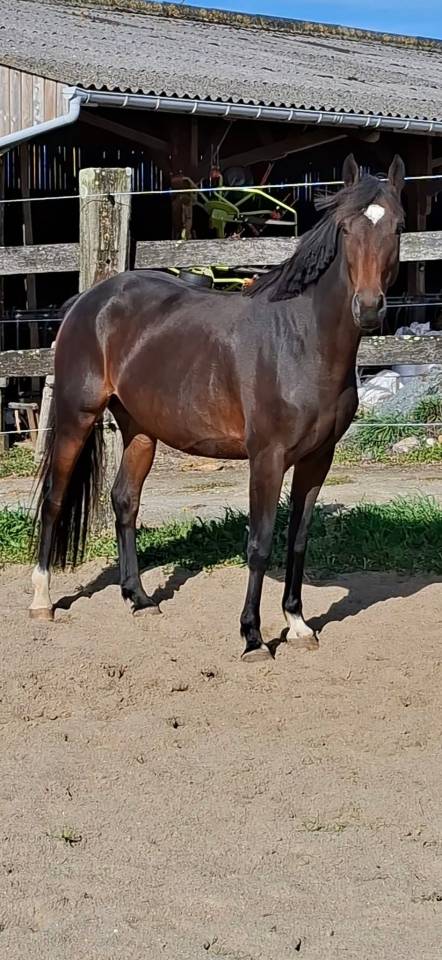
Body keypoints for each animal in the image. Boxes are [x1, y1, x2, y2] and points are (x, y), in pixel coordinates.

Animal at [31, 153, 405, 661]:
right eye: (346, 229)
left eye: (398, 227)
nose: (367, 308)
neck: (302, 341)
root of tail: (89, 300)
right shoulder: (267, 458)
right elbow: (259, 543)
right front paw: (252, 637)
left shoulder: (317, 459)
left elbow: (298, 540)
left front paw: (298, 624)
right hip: (77, 414)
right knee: (54, 499)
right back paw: (42, 601)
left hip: (141, 430)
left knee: (125, 502)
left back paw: (139, 598)